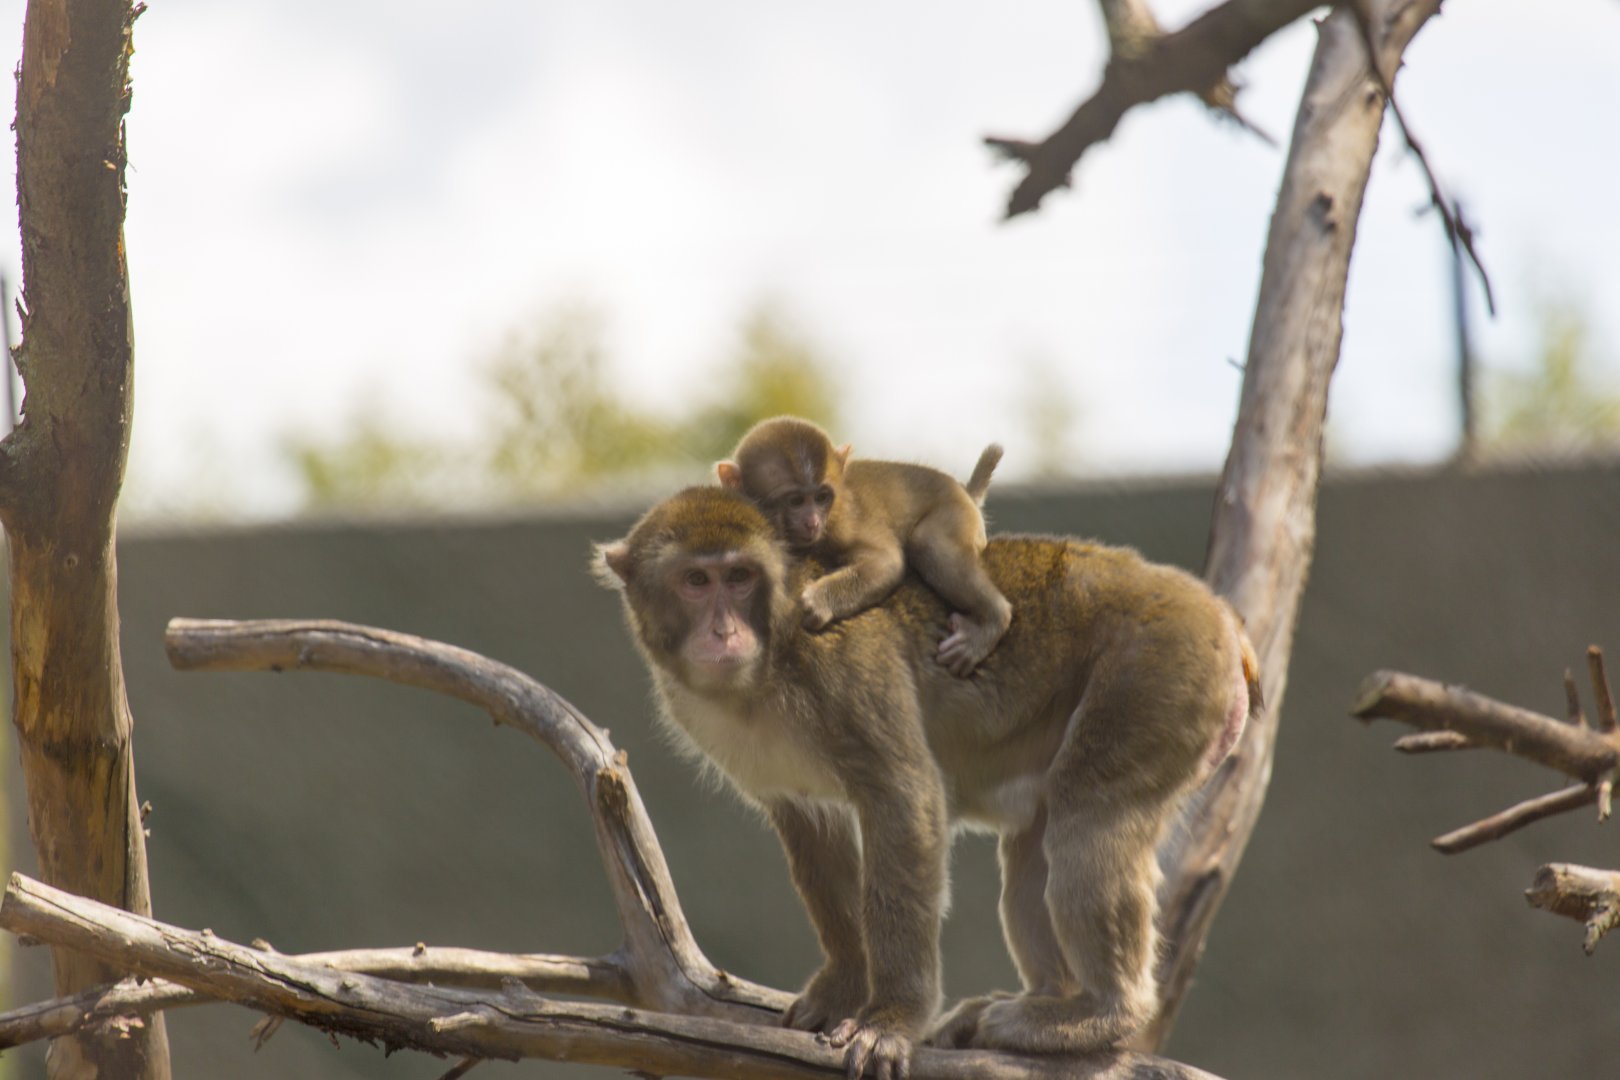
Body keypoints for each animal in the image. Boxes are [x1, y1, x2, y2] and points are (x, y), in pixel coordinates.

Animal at [593, 486, 1260, 1079]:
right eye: (695, 581)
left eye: (738, 577)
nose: (724, 632)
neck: (768, 661)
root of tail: (1218, 612)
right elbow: (814, 833)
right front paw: (844, 985)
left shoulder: (842, 665)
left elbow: (905, 799)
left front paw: (891, 1020)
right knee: (1035, 845)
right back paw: (1045, 1000)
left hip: (1156, 673)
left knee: (1087, 818)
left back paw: (1098, 1014)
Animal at [716, 416, 1012, 676]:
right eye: (796, 501)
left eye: (821, 497)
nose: (812, 522)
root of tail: (966, 493)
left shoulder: (842, 523)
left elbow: (887, 562)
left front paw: (819, 600)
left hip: (957, 514)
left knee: (927, 541)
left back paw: (993, 619)